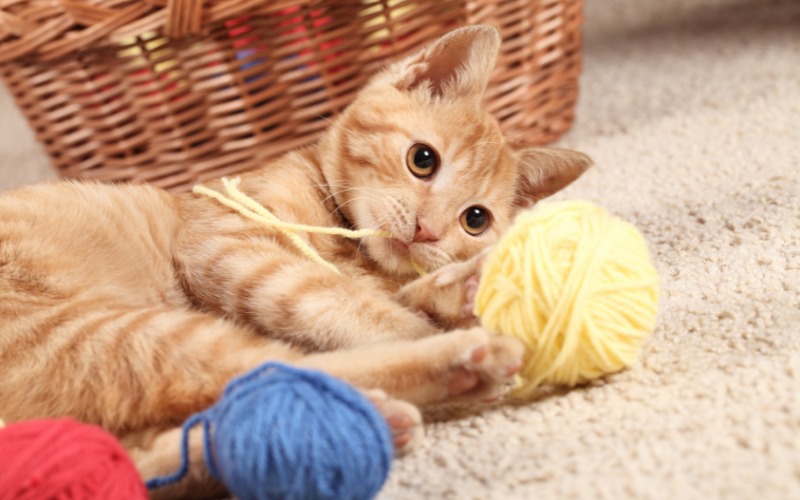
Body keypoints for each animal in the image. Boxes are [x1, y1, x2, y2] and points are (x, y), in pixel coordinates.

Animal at [0, 26, 588, 496]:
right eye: (423, 159)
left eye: (475, 220)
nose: (427, 229)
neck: (350, 246)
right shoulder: (228, 245)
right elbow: (356, 309)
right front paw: (443, 319)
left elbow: (394, 294)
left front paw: (459, 288)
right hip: (120, 335)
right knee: (281, 369)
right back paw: (460, 363)